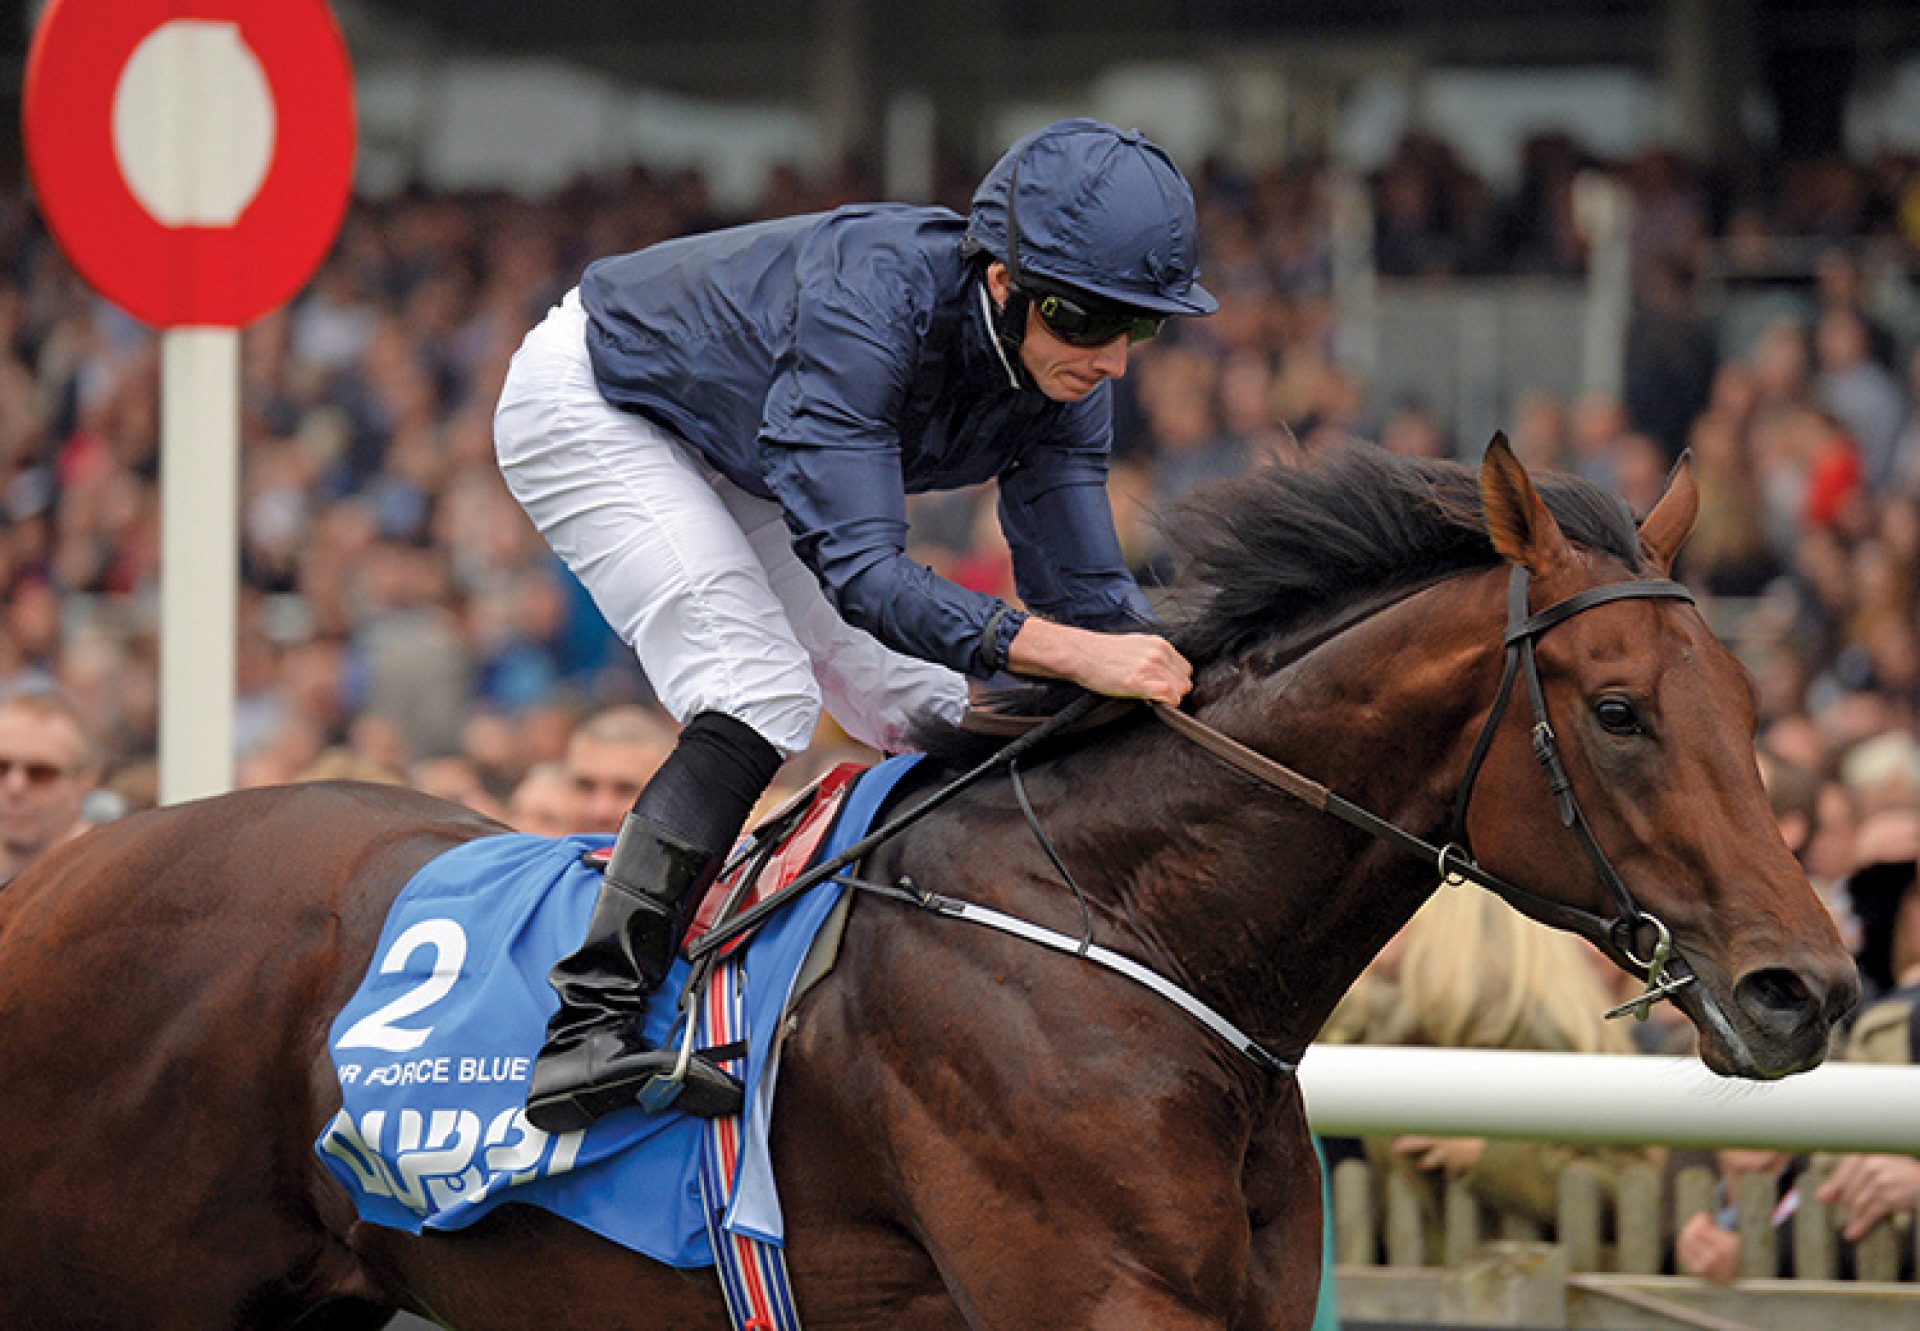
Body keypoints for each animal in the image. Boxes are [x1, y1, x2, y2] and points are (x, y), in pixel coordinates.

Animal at [3, 441, 1858, 1321]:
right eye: (1618, 710)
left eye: (1747, 699)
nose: (1811, 988)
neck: (1121, 924)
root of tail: (66, 867)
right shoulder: (1092, 1299)